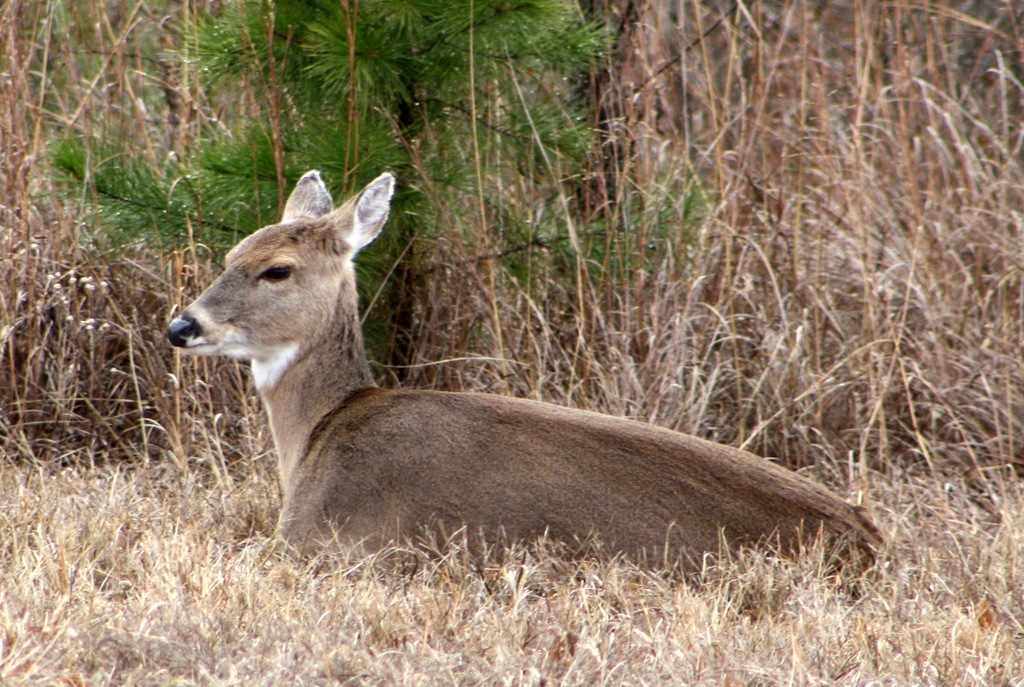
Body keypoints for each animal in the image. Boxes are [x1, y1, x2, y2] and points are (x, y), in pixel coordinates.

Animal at [165, 170, 880, 569]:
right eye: (229, 254)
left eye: (276, 269)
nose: (182, 326)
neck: (319, 430)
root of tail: (869, 541)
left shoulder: (319, 538)